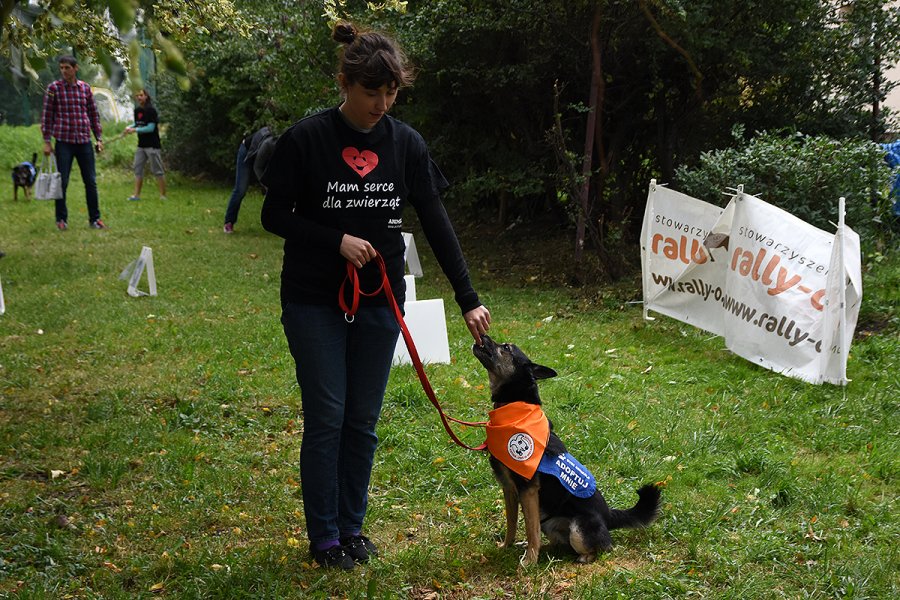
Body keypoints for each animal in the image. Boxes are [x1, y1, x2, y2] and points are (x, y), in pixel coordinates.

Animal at [472, 336, 660, 564]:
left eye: (506, 347)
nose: (482, 336)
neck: (514, 408)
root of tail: (608, 515)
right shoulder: (509, 488)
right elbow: (513, 524)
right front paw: (506, 547)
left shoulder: (529, 490)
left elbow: (531, 529)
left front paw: (529, 561)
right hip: (550, 523)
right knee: (560, 543)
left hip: (578, 528)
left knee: (603, 547)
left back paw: (583, 557)